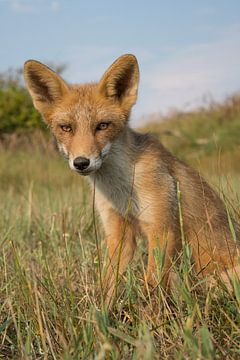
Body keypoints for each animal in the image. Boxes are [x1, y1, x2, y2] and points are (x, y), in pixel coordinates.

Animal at [23, 54, 240, 306]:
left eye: (102, 126)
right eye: (66, 128)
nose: (81, 162)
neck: (120, 189)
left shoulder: (161, 230)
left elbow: (152, 287)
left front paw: (152, 315)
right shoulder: (119, 234)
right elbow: (107, 286)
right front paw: (101, 314)